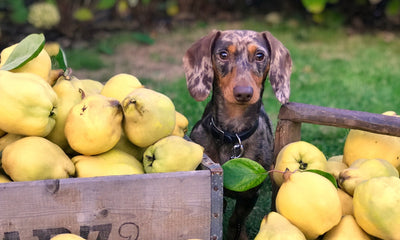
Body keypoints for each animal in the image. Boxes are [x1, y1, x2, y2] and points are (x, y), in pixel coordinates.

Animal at [183, 30, 292, 240]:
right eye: (223, 54)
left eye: (260, 55)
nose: (243, 93)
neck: (233, 134)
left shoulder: (250, 194)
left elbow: (237, 220)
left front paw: (239, 234)